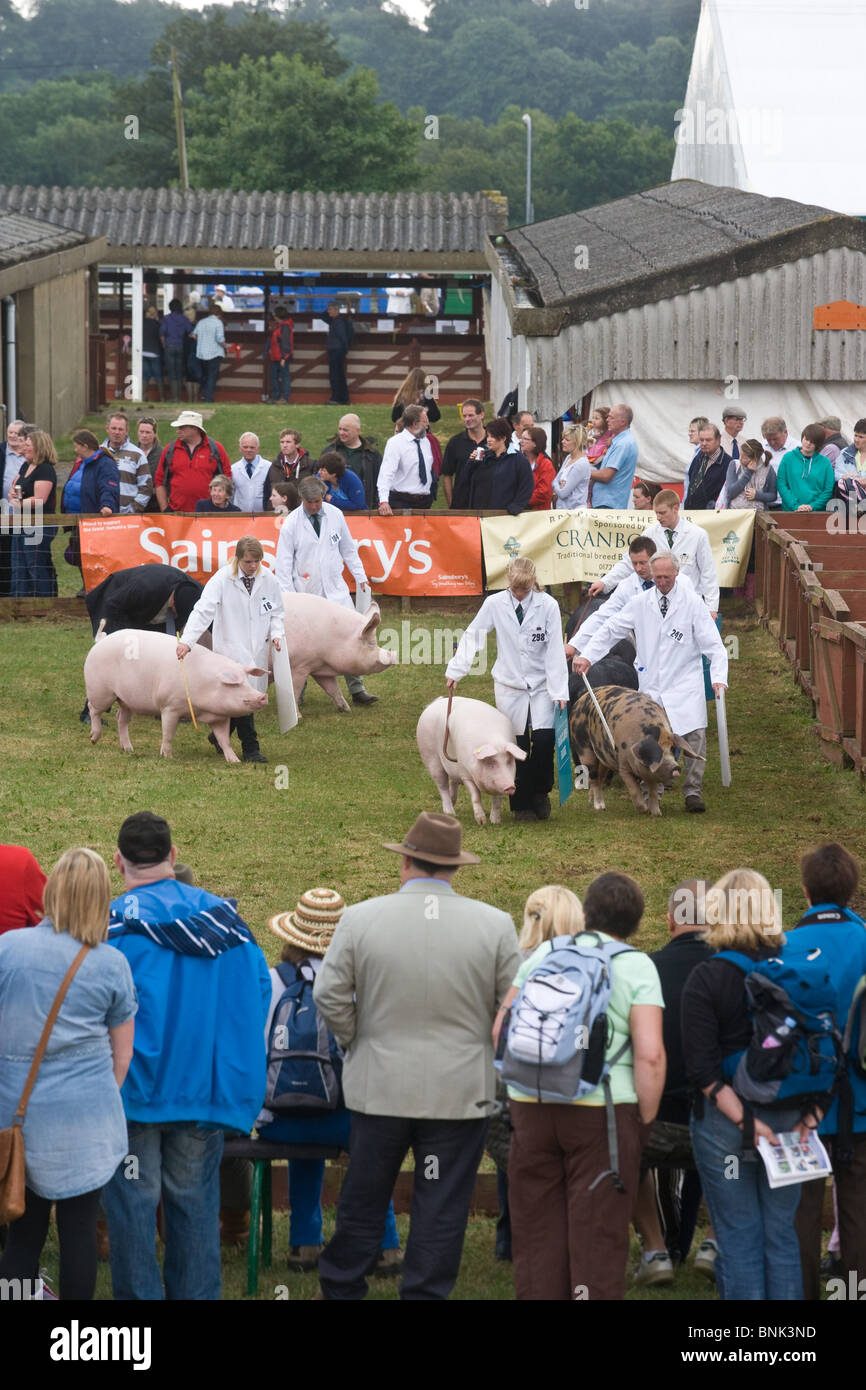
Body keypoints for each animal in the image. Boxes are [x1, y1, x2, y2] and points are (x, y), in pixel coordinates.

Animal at [85, 628, 268, 761]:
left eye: (248, 681)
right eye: (236, 684)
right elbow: (168, 733)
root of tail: (100, 641)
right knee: (94, 709)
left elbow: (224, 739)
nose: (262, 696)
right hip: (100, 692)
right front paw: (167, 757)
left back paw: (129, 749)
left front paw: (234, 760)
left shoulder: (220, 717)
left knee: (120, 718)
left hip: (127, 700)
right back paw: (93, 739)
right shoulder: (169, 706)